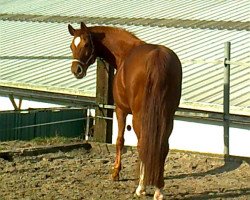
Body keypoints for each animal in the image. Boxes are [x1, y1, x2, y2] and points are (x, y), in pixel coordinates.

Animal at [68, 22, 182, 199]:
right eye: (72, 46)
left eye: (86, 44)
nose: (76, 70)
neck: (125, 52)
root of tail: (158, 58)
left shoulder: (120, 110)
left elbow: (120, 140)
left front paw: (116, 172)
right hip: (168, 117)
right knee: (163, 147)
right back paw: (158, 188)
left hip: (138, 117)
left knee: (142, 145)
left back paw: (141, 187)